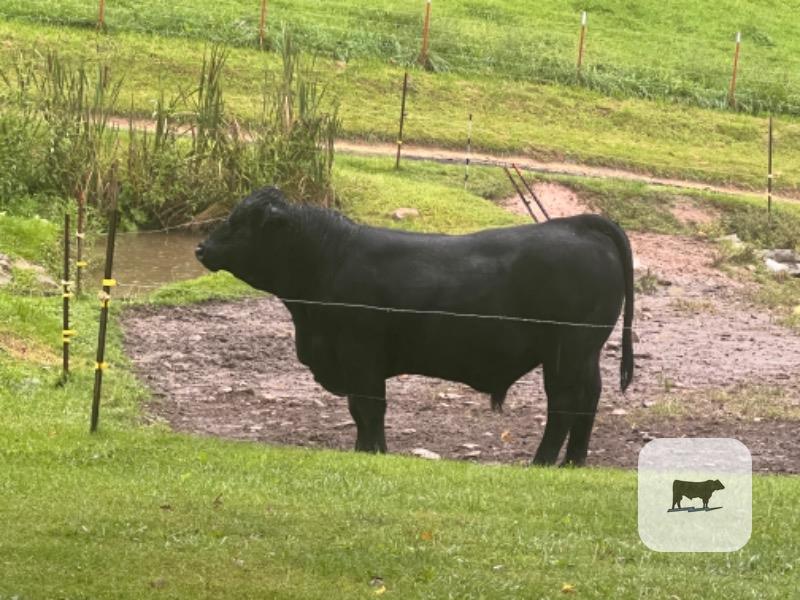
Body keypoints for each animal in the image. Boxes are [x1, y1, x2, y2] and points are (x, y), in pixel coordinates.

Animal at [195, 186, 634, 466]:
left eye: (240, 222)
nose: (201, 248)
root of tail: (577, 224)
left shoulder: (359, 351)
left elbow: (368, 407)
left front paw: (373, 452)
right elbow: (361, 411)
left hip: (566, 351)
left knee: (564, 404)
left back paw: (542, 462)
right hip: (584, 353)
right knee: (588, 399)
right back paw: (572, 462)